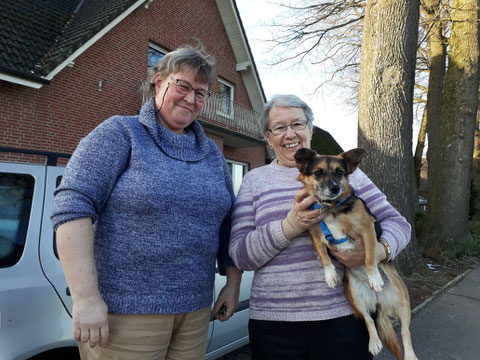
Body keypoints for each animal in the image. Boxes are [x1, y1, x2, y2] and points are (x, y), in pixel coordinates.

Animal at [294, 148, 418, 360]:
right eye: (318, 173)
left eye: (340, 173)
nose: (334, 188)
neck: (332, 207)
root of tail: (379, 302)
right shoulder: (315, 235)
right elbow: (324, 257)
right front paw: (330, 276)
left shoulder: (367, 230)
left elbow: (369, 257)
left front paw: (374, 278)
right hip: (356, 298)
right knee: (369, 321)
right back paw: (374, 342)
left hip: (403, 304)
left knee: (406, 333)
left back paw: (410, 355)